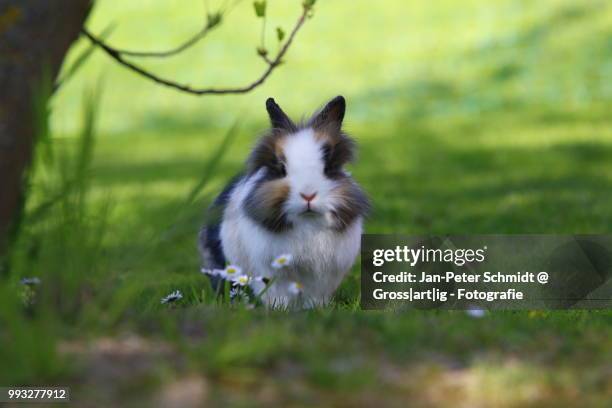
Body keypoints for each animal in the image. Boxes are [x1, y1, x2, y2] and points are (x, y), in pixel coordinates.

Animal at [198, 95, 368, 306]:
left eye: (328, 168)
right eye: (281, 168)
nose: (308, 194)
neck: (307, 225)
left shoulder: (325, 277)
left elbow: (316, 297)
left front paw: (317, 309)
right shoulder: (270, 272)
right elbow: (276, 295)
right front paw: (279, 310)